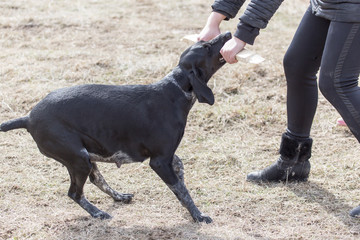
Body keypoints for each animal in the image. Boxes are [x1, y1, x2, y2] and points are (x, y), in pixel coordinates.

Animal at [0, 31, 231, 223]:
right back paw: (98, 213)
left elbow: (180, 175)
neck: (175, 90)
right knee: (75, 193)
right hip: (78, 159)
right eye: (207, 47)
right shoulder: (159, 161)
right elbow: (182, 192)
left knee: (96, 180)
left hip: (85, 158)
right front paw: (198, 215)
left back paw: (118, 197)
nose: (228, 33)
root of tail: (28, 117)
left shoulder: (168, 157)